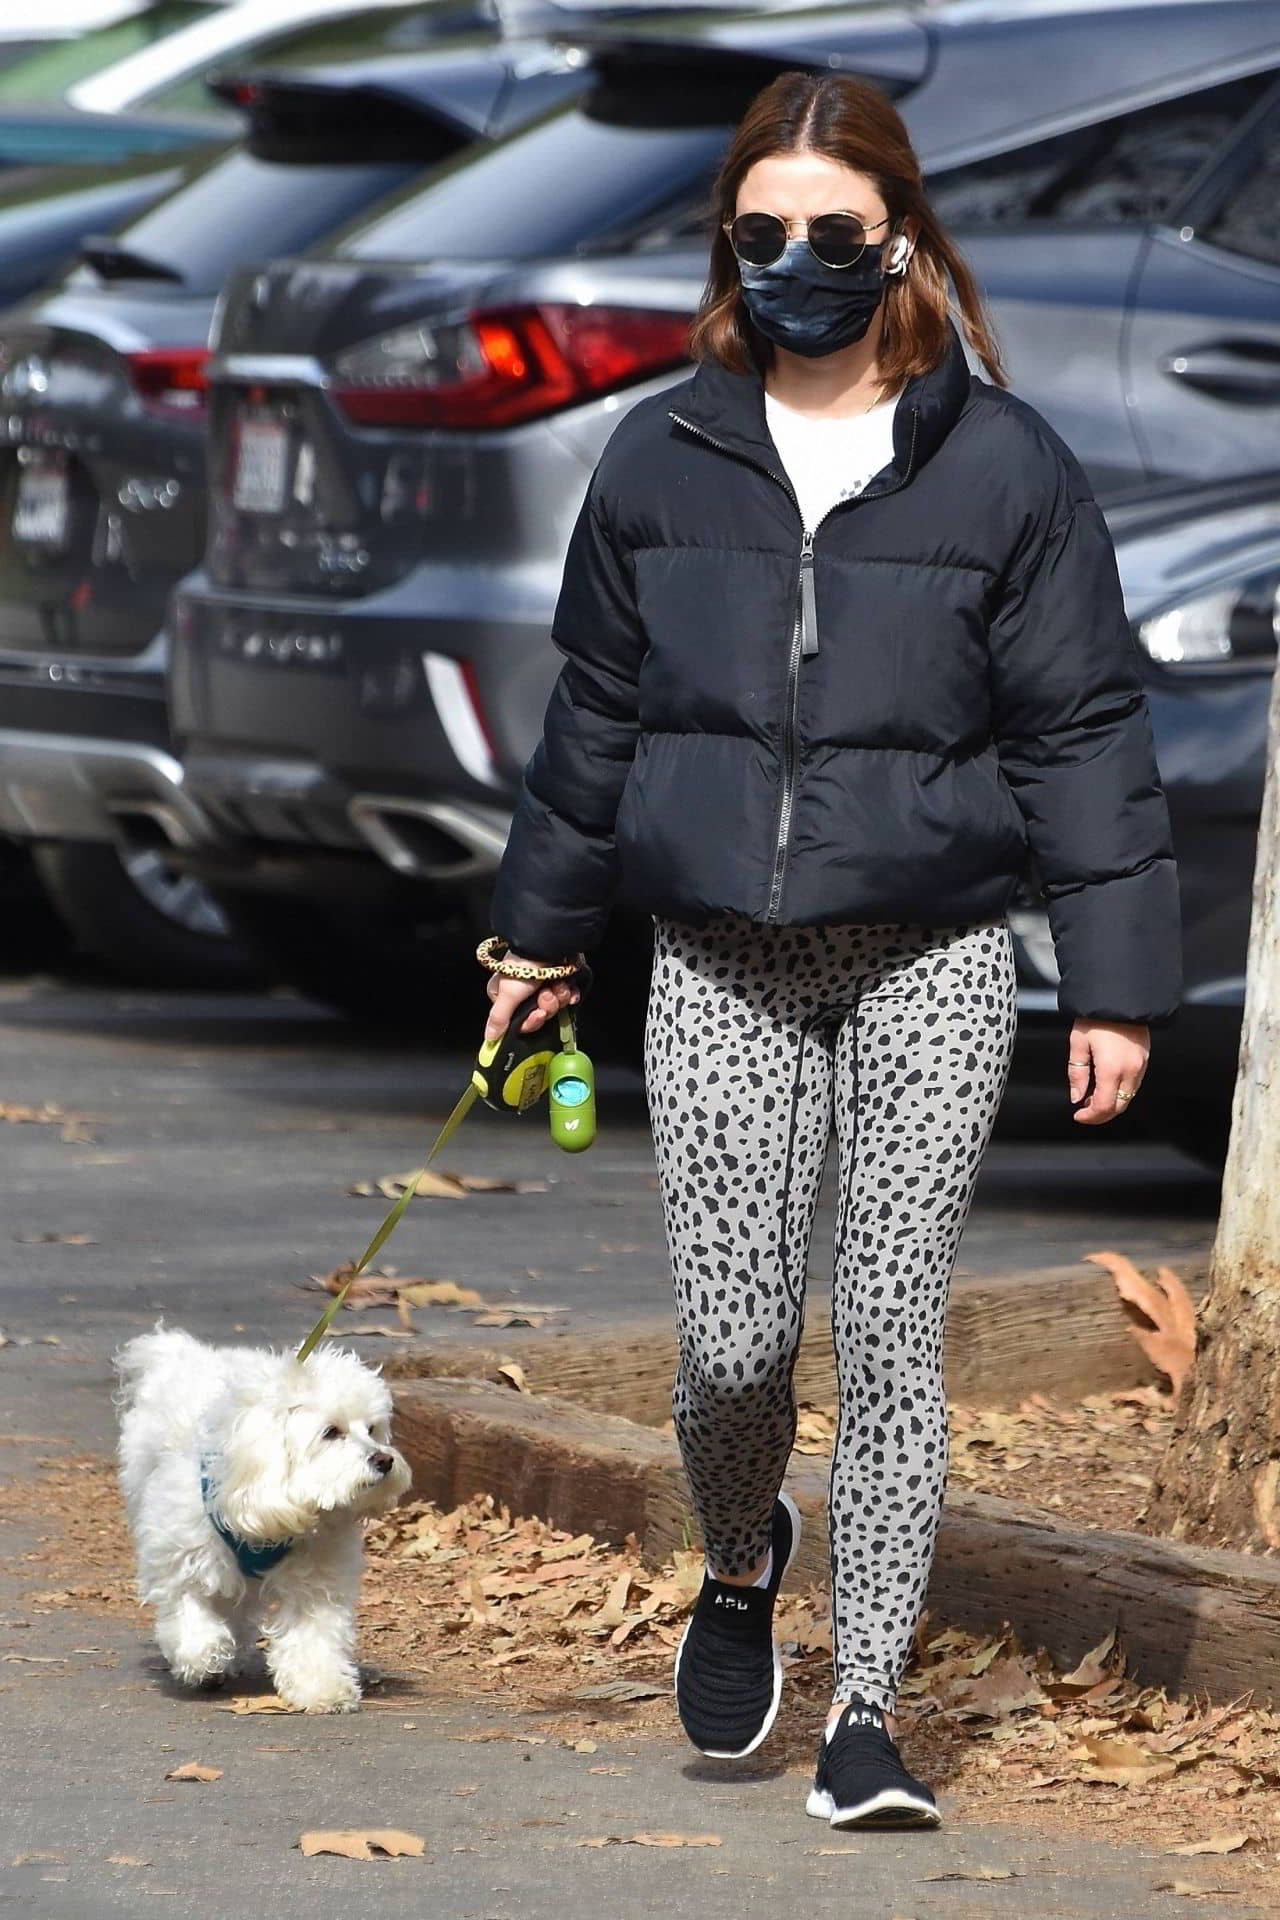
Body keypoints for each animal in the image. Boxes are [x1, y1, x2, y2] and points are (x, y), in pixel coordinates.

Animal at [114, 1328, 408, 1720]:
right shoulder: (183, 1558)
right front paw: (202, 1658)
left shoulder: (315, 1579)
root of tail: (185, 1353)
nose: (384, 1460)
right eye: (331, 1432)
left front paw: (321, 1687)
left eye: (373, 1429)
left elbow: (313, 1635)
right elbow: (189, 1609)